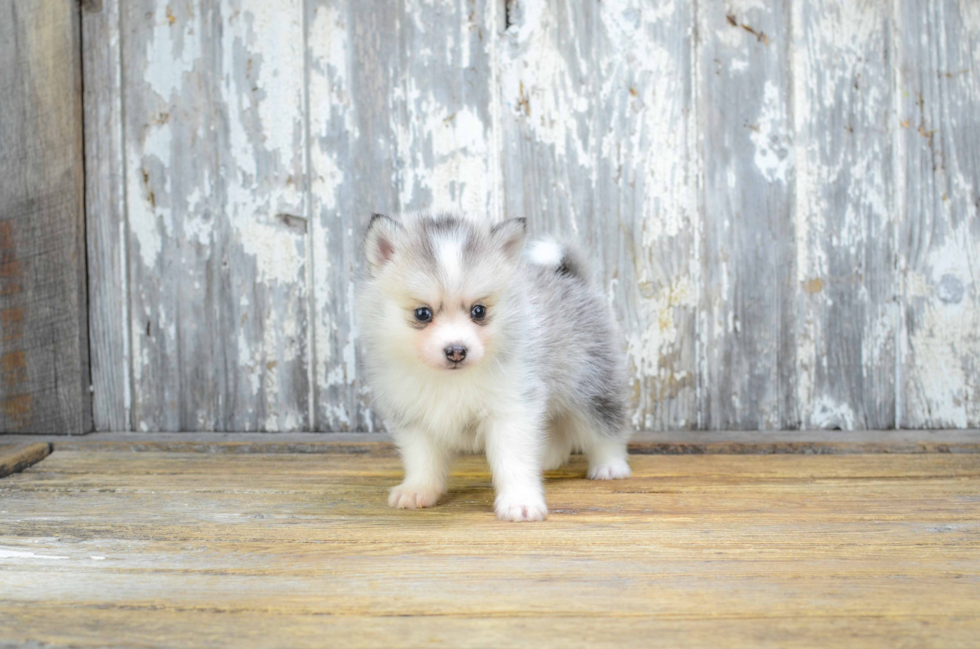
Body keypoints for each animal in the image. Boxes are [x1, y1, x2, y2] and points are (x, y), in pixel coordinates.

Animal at [356, 213, 632, 520]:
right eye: (422, 313)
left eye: (479, 311)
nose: (456, 351)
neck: (451, 381)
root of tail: (572, 279)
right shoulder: (413, 416)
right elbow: (422, 459)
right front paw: (417, 490)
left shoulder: (510, 409)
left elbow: (513, 460)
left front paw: (520, 502)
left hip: (592, 386)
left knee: (606, 429)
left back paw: (610, 466)